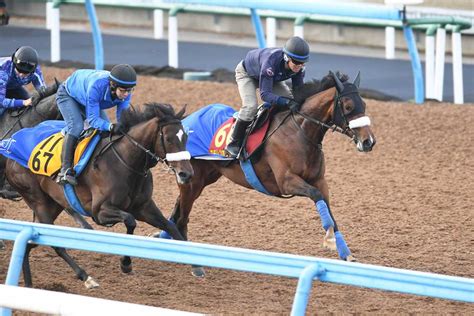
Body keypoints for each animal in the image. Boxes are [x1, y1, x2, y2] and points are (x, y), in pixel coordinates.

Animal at [5, 102, 198, 288]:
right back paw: (86, 277)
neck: (126, 162)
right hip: (38, 201)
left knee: (30, 242)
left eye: (186, 137)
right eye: (168, 139)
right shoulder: (100, 212)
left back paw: (28, 284)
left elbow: (170, 226)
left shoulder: (144, 207)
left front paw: (197, 265)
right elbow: (130, 221)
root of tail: (11, 145)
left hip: (54, 204)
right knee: (54, 244)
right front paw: (126, 264)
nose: (187, 174)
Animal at [165, 71, 376, 262]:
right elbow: (316, 196)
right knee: (182, 216)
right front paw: (330, 240)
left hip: (203, 178)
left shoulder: (319, 181)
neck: (299, 132)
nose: (369, 141)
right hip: (193, 180)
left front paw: (345, 252)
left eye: (364, 105)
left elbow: (328, 209)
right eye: (348, 106)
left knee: (179, 207)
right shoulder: (286, 182)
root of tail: (186, 121)